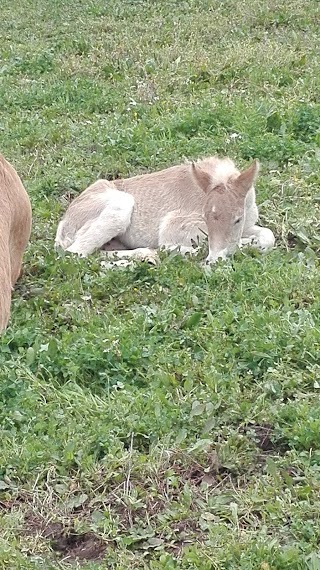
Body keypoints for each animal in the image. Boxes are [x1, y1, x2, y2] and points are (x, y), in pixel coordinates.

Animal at [55, 155, 276, 262]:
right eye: (205, 217)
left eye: (237, 219)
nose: (215, 261)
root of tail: (64, 225)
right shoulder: (173, 225)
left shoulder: (248, 225)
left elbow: (268, 235)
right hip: (120, 206)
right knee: (75, 253)